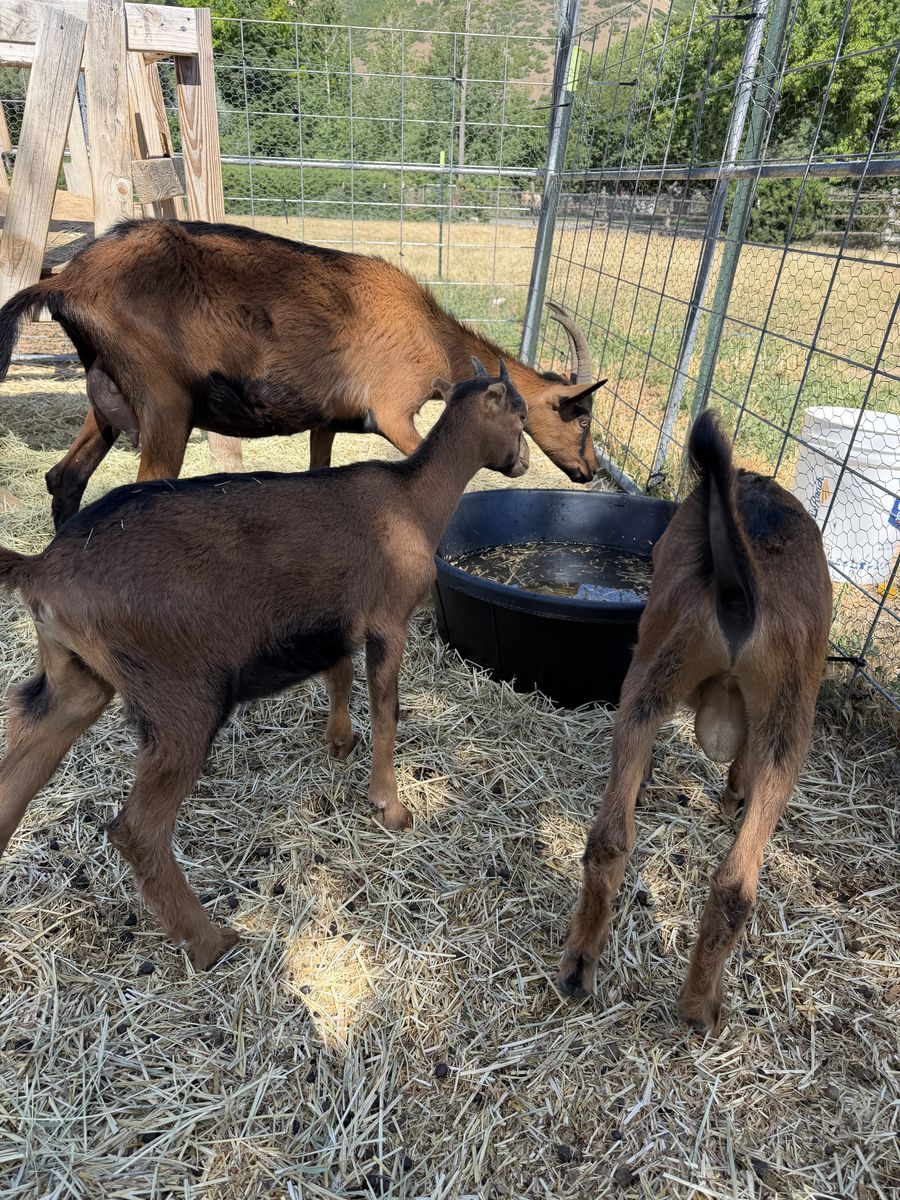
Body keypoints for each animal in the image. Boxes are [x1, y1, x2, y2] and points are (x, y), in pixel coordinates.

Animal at [0, 219, 604, 530]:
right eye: (581, 418)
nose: (591, 471)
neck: (429, 331)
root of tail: (69, 281)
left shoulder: (327, 420)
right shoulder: (393, 410)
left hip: (108, 401)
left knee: (65, 478)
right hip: (165, 406)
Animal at [0, 362, 529, 970]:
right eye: (520, 414)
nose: (523, 461)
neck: (412, 500)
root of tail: (40, 568)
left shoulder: (334, 624)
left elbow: (339, 675)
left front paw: (339, 742)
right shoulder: (388, 620)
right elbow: (387, 712)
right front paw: (391, 810)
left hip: (75, 677)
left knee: (24, 756)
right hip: (180, 695)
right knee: (137, 828)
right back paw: (211, 942)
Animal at [557, 411, 832, 1031]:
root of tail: (739, 591)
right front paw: (731, 795)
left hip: (670, 679)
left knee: (625, 844)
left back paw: (596, 972)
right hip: (758, 710)